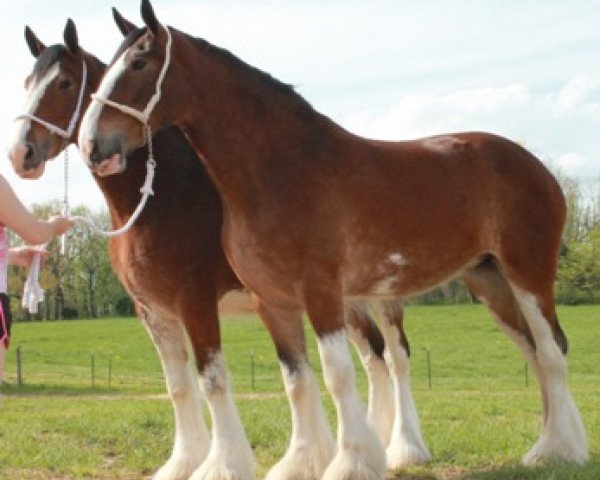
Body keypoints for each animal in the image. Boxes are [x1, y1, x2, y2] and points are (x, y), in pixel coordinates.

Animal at [7, 11, 424, 480]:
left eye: (62, 83)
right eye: (27, 80)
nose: (21, 154)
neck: (162, 199)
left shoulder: (196, 303)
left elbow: (214, 381)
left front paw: (223, 463)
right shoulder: (153, 311)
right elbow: (179, 386)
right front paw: (183, 461)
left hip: (380, 297)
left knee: (396, 356)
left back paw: (404, 447)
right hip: (345, 300)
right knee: (373, 356)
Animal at [77, 1, 588, 478]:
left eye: (139, 62)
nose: (92, 145)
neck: (280, 172)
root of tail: (536, 166)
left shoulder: (320, 294)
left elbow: (338, 377)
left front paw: (351, 462)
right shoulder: (275, 303)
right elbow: (297, 381)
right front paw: (301, 463)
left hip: (527, 274)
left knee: (550, 351)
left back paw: (561, 450)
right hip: (489, 281)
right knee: (534, 352)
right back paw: (547, 447)